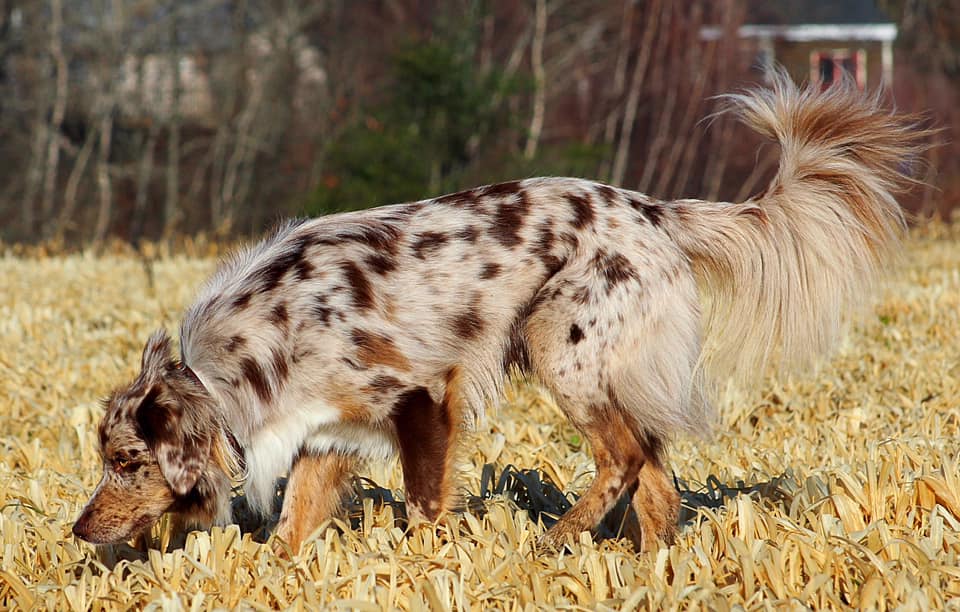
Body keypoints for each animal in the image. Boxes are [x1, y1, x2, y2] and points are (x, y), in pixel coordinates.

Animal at [71, 73, 928, 556]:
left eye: (128, 463)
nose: (78, 530)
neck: (255, 347)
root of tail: (657, 209)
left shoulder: (419, 399)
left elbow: (422, 509)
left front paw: (432, 567)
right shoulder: (325, 432)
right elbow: (290, 534)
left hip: (562, 348)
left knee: (622, 461)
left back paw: (554, 540)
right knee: (657, 480)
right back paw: (651, 571)